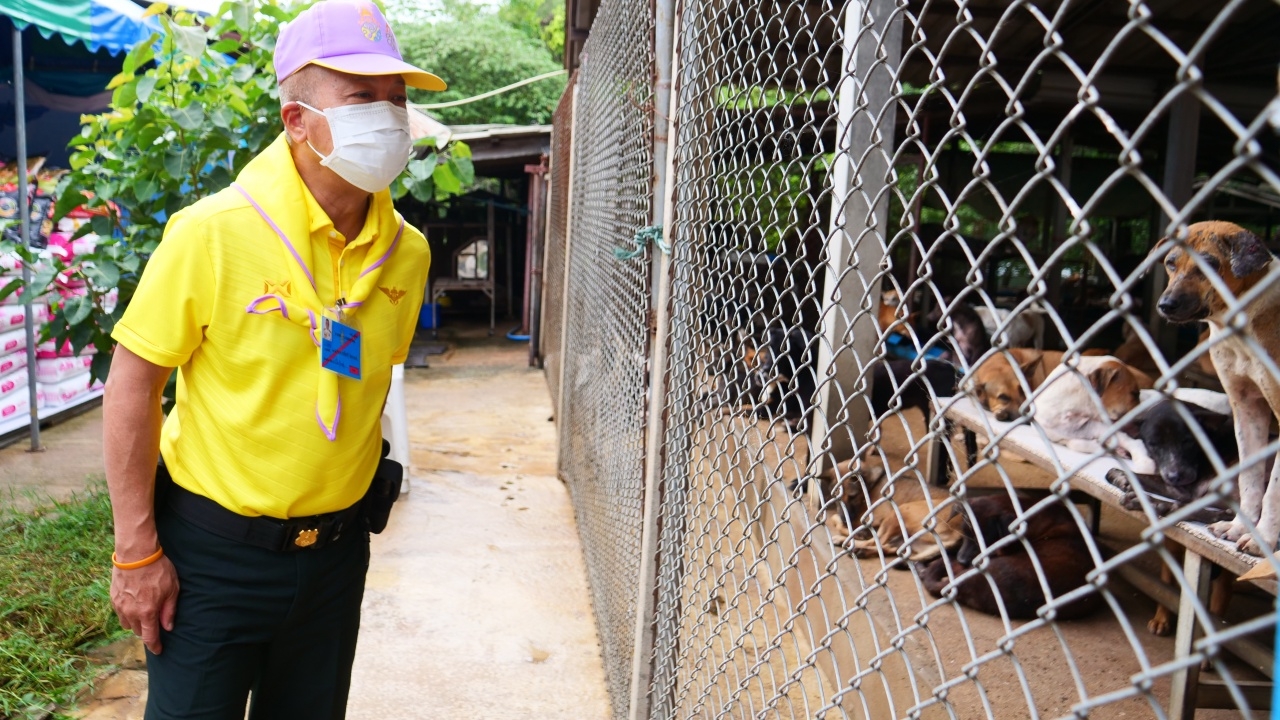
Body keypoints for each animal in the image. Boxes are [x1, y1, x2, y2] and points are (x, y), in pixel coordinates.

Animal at [1157, 219, 1280, 556]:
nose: (1165, 305)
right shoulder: (1247, 409)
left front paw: (1263, 539)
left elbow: (1273, 490)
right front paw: (1240, 527)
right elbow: (1249, 479)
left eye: (1209, 265)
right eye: (1170, 263)